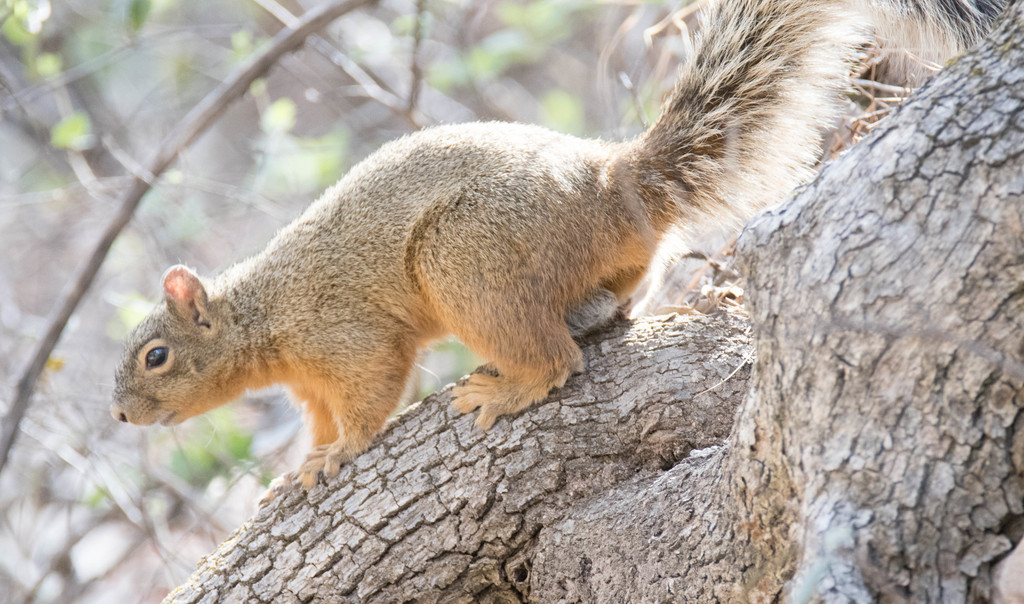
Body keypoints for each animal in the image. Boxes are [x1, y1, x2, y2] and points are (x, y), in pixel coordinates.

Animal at [110, 0, 999, 491]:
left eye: (156, 355)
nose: (119, 414)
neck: (261, 313)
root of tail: (614, 186)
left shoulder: (345, 336)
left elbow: (367, 396)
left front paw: (341, 455)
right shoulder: (307, 383)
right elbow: (320, 421)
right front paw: (297, 470)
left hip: (464, 258)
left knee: (554, 362)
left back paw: (506, 389)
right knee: (614, 302)